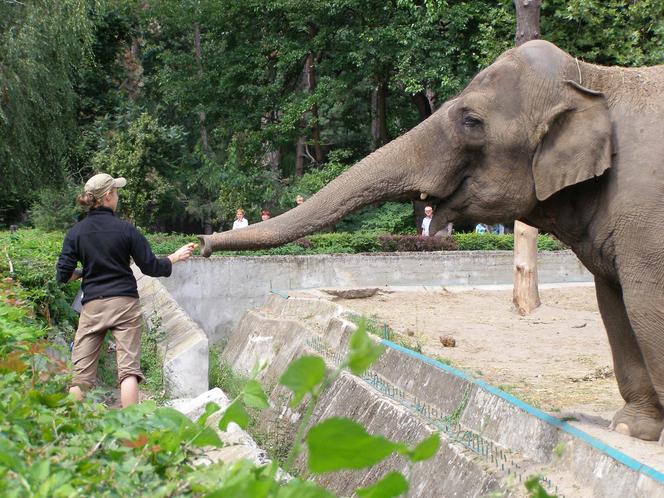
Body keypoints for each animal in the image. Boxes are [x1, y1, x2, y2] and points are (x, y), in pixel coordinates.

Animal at [200, 40, 664, 442]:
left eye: (471, 121)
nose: (200, 244)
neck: (596, 77)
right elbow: (614, 304)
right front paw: (630, 429)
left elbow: (645, 304)